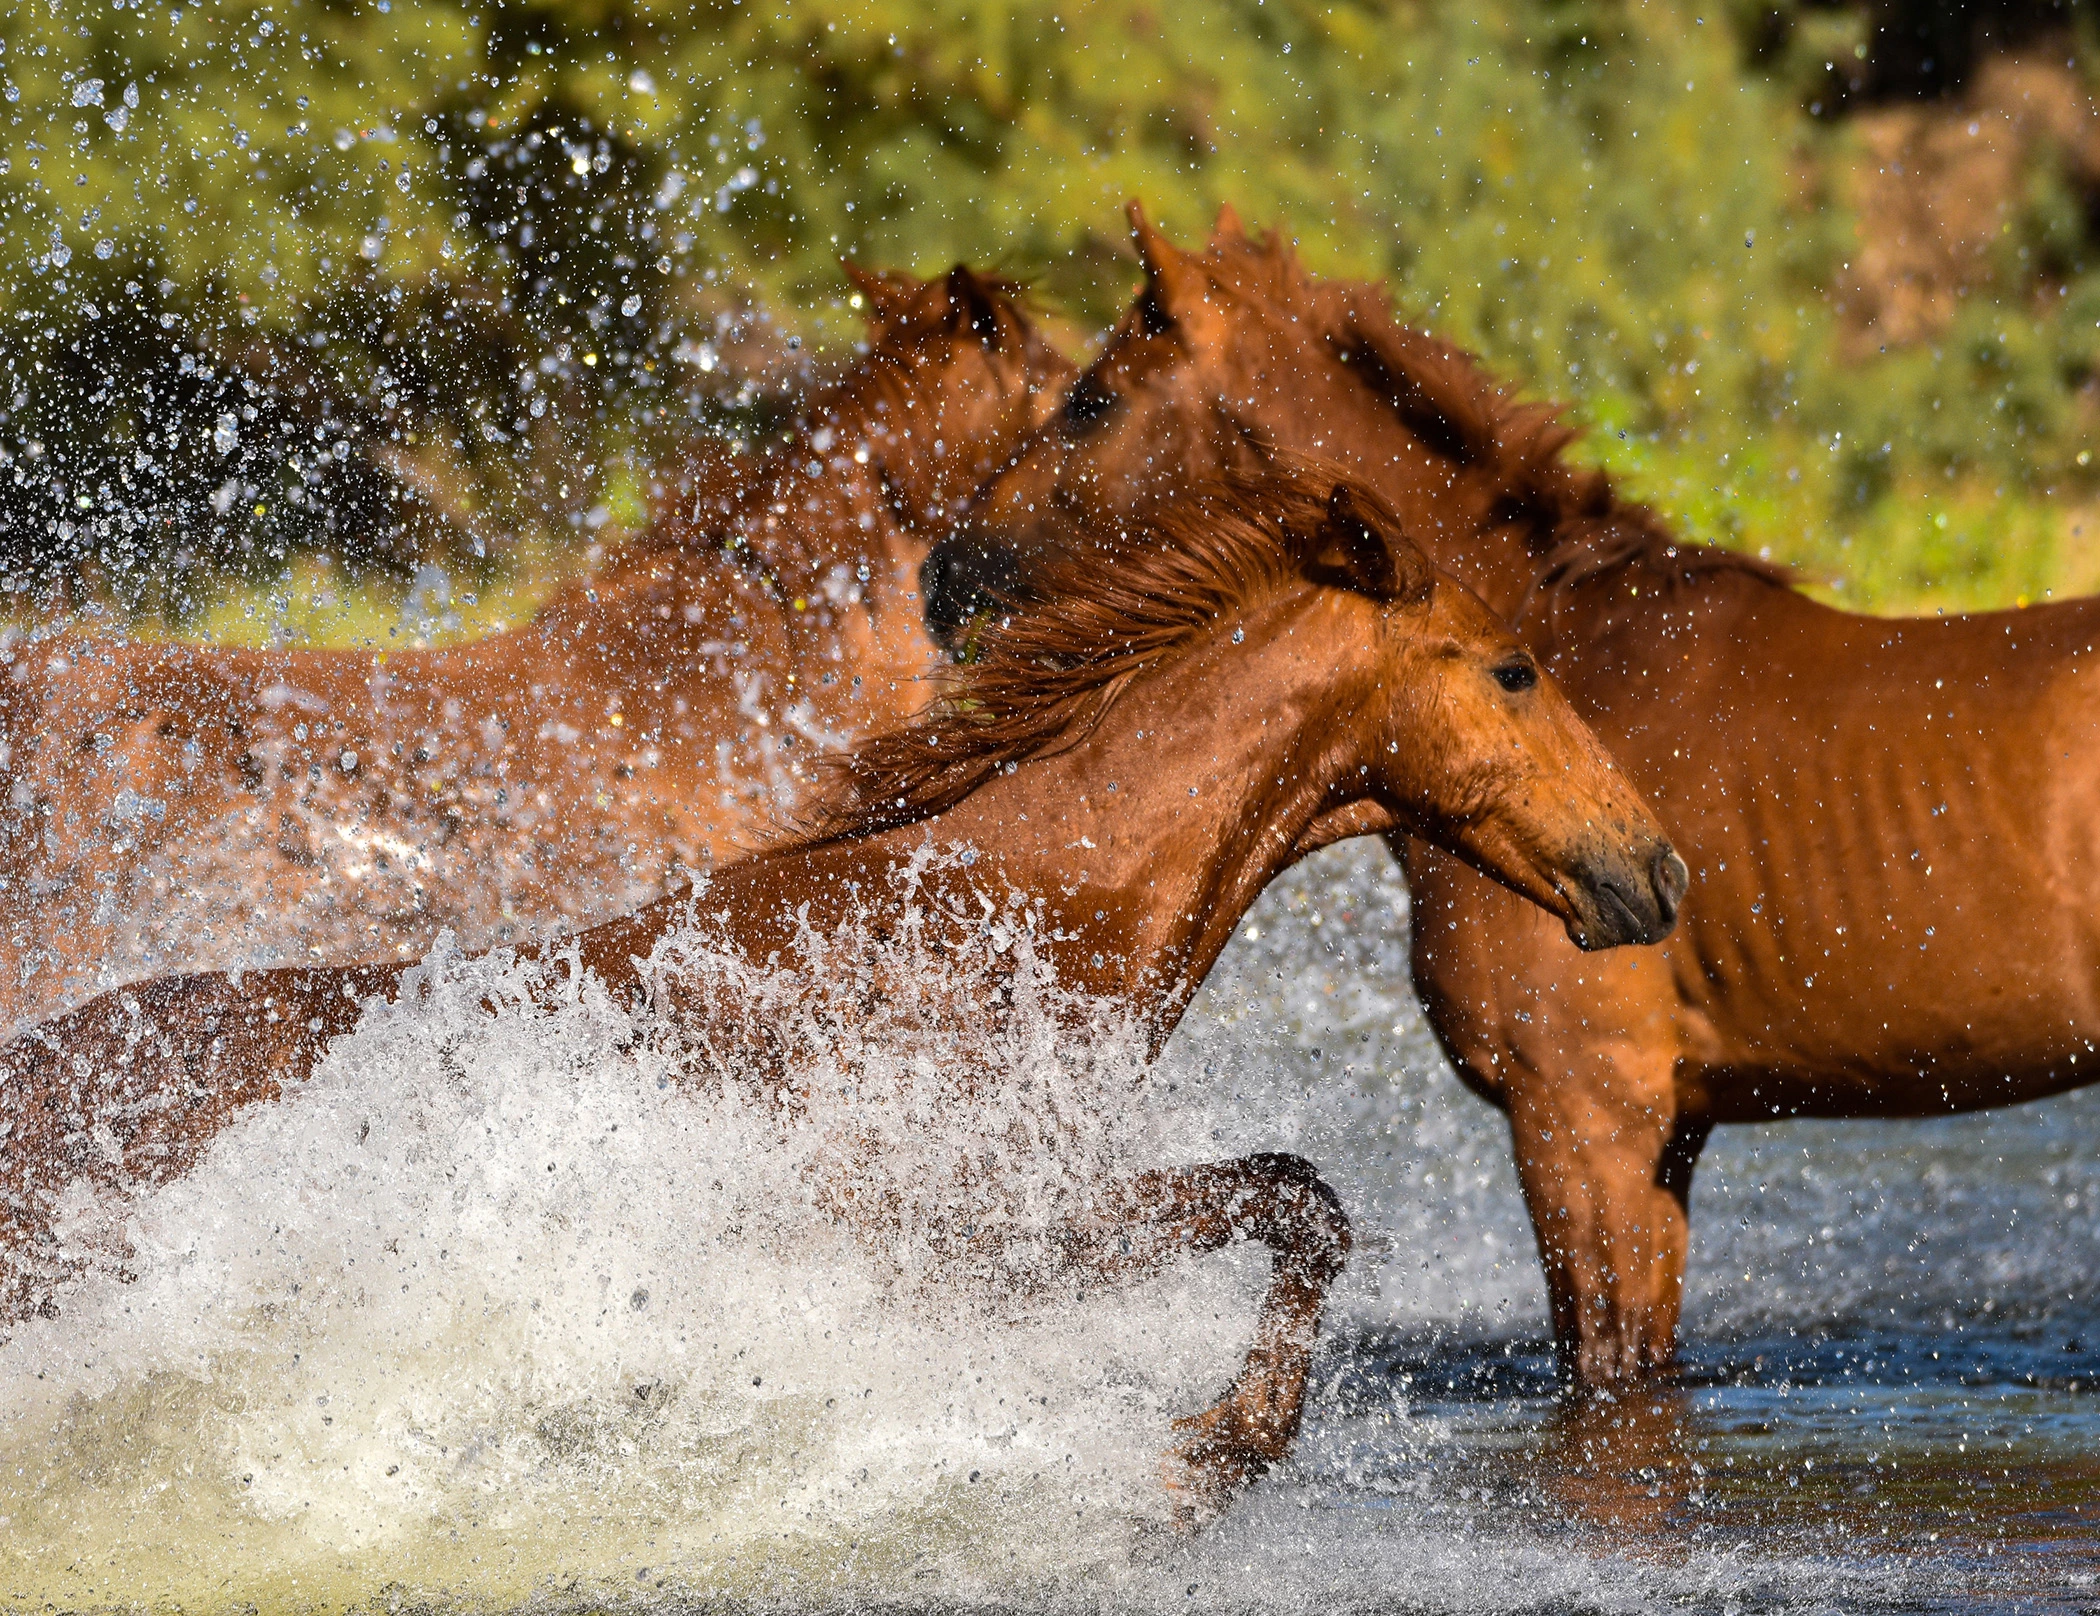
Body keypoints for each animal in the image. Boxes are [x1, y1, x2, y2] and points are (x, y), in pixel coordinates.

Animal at [0, 461, 1679, 1511]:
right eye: (1515, 668)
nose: (1655, 869)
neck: (988, 924)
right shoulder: (991, 1231)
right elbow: (1299, 1200)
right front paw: (1219, 1442)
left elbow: (1298, 1201)